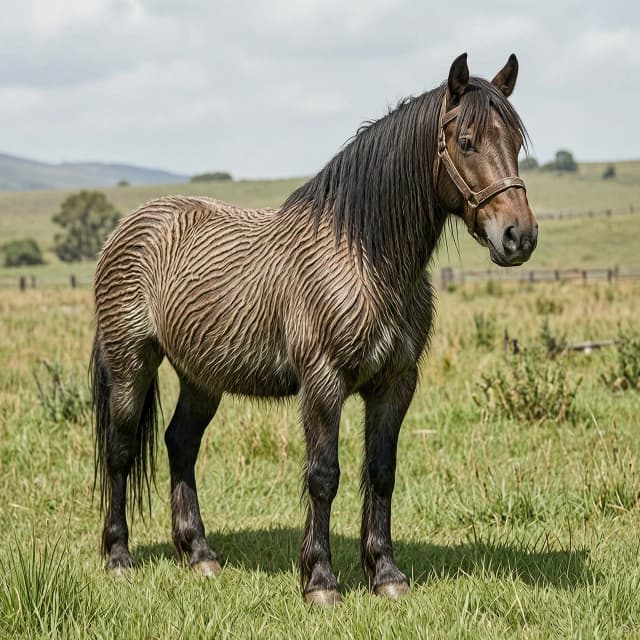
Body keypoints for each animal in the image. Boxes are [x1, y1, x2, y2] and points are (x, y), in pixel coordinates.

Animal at [91, 53, 538, 606]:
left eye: (515, 143)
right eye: (467, 142)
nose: (519, 237)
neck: (366, 260)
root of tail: (128, 225)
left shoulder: (395, 385)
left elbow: (381, 473)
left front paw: (386, 574)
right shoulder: (323, 385)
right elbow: (324, 476)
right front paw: (320, 580)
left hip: (201, 377)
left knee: (181, 444)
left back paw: (199, 555)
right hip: (131, 365)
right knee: (120, 450)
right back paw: (118, 558)